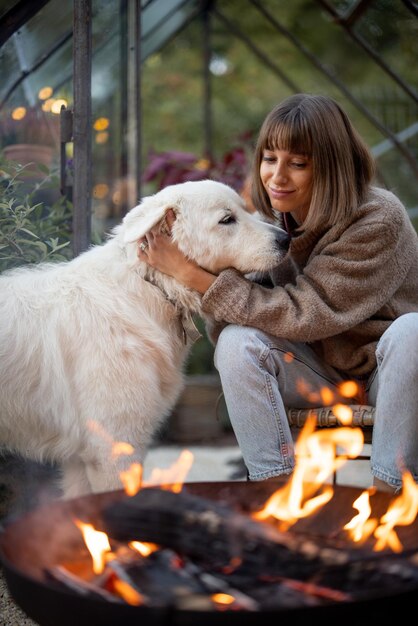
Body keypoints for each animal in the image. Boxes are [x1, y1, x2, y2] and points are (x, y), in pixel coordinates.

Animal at [0, 179, 288, 498]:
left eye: (245, 209)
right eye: (227, 220)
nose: (286, 239)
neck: (148, 288)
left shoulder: (82, 460)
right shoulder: (114, 448)